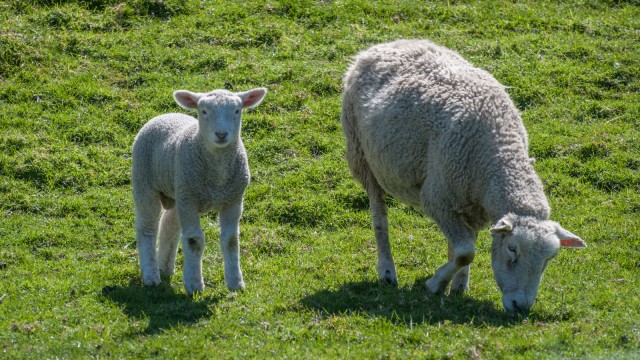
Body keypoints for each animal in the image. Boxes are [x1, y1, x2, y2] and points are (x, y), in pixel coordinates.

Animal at [131, 88, 266, 296]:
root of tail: (164, 115)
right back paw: (151, 275)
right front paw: (194, 285)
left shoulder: (234, 200)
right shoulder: (189, 200)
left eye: (237, 110)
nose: (221, 134)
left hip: (178, 191)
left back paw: (164, 267)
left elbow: (230, 240)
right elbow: (194, 240)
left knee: (169, 224)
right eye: (203, 111)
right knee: (147, 228)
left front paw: (235, 282)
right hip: (146, 183)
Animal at [342, 40, 588, 312]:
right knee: (379, 216)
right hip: (362, 156)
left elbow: (464, 246)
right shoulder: (436, 199)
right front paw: (435, 283)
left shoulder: (473, 208)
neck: (501, 153)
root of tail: (386, 45)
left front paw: (457, 286)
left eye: (549, 258)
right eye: (512, 249)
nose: (521, 307)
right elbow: (466, 252)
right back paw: (387, 270)